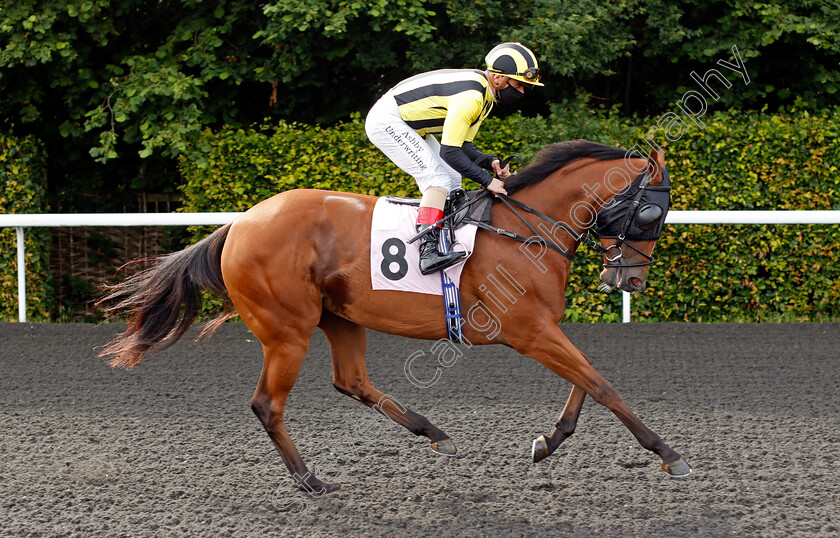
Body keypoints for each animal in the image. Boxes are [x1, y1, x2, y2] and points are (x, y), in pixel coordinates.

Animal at [98, 137, 692, 490]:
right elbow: (602, 385)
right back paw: (310, 480)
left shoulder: (543, 327)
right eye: (652, 212)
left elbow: (587, 383)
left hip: (340, 317)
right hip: (288, 330)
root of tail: (240, 223)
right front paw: (667, 452)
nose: (631, 281)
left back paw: (434, 433)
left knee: (352, 381)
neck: (526, 228)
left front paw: (548, 442)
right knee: (268, 404)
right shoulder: (528, 330)